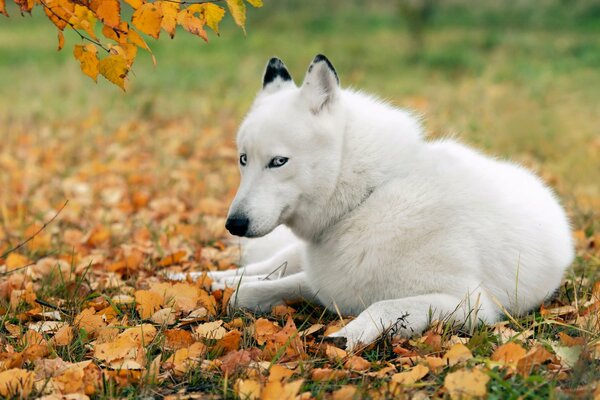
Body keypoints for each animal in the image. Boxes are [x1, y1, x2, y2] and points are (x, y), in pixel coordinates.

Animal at [177, 54, 572, 350]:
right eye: (243, 159)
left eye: (278, 162)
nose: (234, 224)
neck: (367, 199)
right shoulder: (323, 283)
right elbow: (246, 293)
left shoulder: (468, 304)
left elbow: (384, 306)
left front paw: (345, 336)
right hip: (289, 256)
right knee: (254, 270)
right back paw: (193, 278)